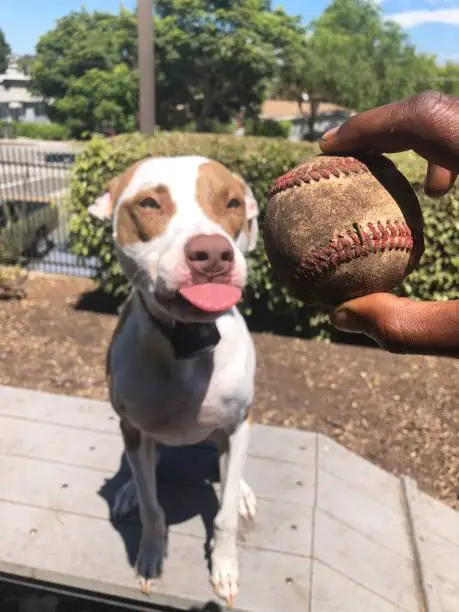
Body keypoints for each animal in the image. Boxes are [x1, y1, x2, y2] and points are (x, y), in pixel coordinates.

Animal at [88, 155, 260, 604]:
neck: (188, 341)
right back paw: (129, 489)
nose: (212, 254)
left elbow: (224, 515)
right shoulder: (133, 428)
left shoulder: (237, 425)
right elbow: (153, 508)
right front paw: (150, 555)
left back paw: (243, 492)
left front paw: (224, 568)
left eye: (232, 203)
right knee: (141, 469)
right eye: (149, 203)